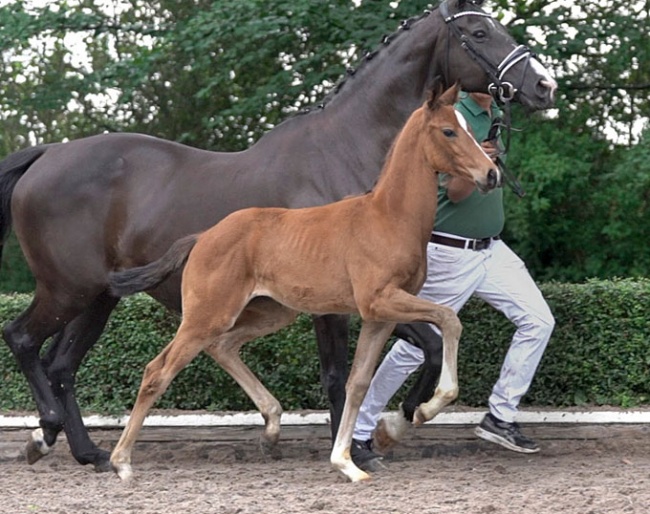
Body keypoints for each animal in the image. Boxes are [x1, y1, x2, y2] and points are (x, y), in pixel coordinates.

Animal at [109, 83, 498, 480]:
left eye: (471, 129)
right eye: (448, 131)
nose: (491, 174)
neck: (387, 216)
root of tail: (203, 236)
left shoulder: (379, 316)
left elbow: (358, 382)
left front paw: (347, 461)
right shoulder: (379, 300)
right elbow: (450, 320)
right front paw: (426, 407)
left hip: (272, 313)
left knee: (223, 346)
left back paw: (271, 429)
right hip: (206, 316)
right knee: (158, 371)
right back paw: (121, 461)